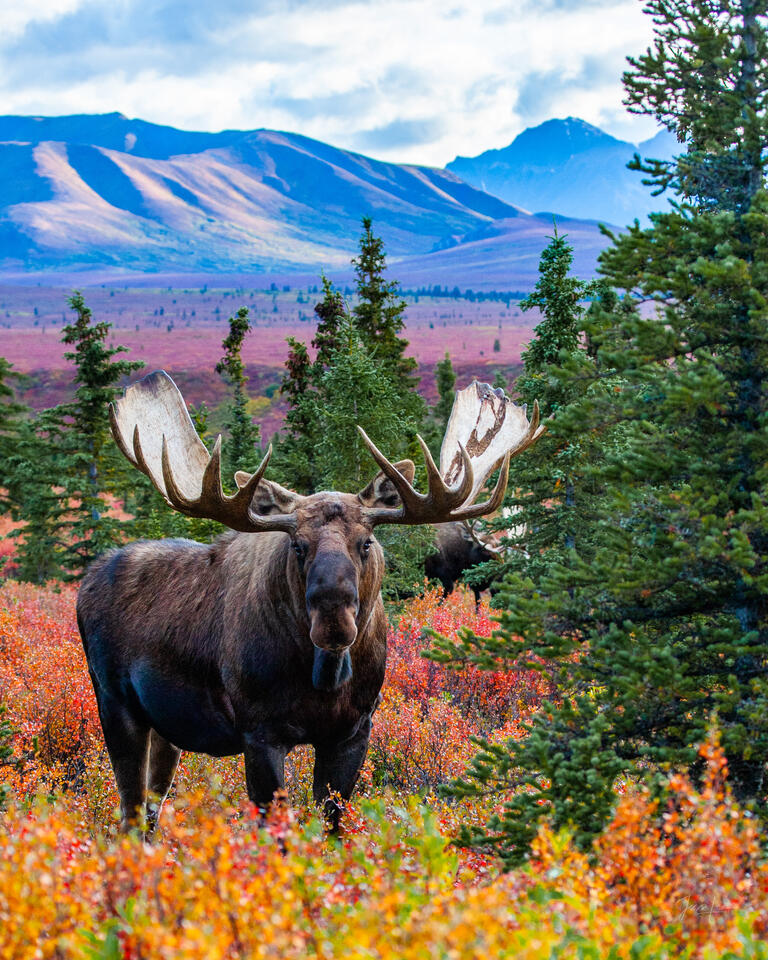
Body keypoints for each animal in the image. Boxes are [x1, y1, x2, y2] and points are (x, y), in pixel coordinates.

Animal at [77, 371, 542, 833]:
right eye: (297, 545)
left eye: (367, 542)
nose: (333, 619)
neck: (324, 678)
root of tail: (86, 581)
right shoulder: (260, 733)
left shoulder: (353, 731)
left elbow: (332, 824)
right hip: (115, 704)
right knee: (130, 813)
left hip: (166, 729)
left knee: (150, 813)